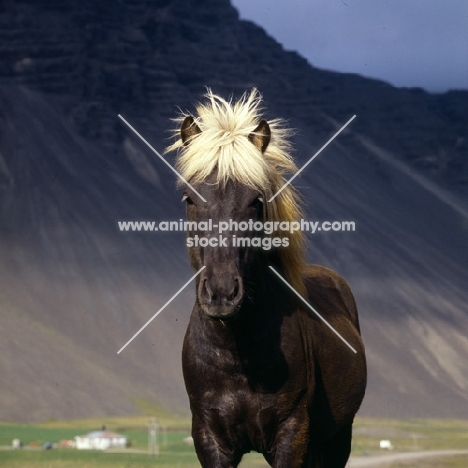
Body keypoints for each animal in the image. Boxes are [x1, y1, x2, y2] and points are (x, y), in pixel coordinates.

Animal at [167, 89, 366, 466]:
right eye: (189, 198)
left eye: (256, 202)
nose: (221, 292)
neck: (236, 353)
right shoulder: (209, 437)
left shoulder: (292, 434)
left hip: (338, 440)